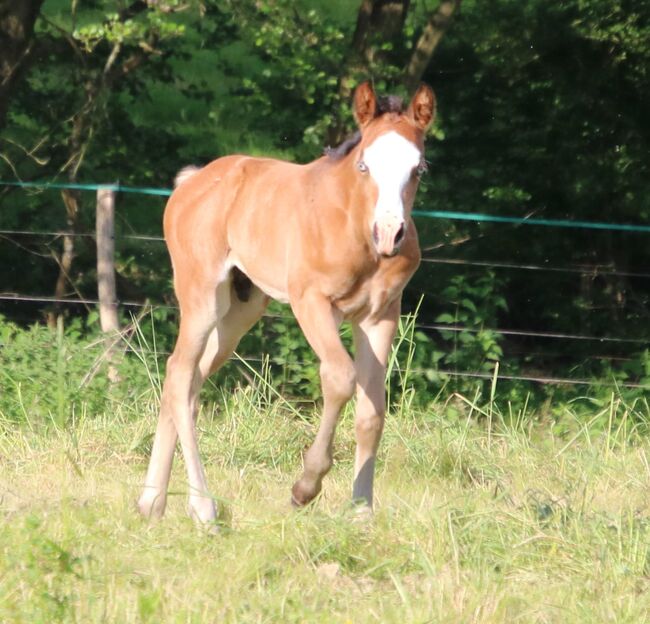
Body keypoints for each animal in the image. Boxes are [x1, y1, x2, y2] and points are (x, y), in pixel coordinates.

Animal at [137, 81, 432, 520]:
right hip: (202, 296)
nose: (389, 232)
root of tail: (189, 184)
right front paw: (306, 487)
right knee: (179, 373)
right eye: (364, 165)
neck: (354, 229)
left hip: (241, 309)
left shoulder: (380, 315)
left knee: (187, 383)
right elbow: (340, 377)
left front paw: (361, 512)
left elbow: (372, 413)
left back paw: (152, 501)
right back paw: (203, 507)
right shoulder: (311, 302)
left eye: (419, 168)